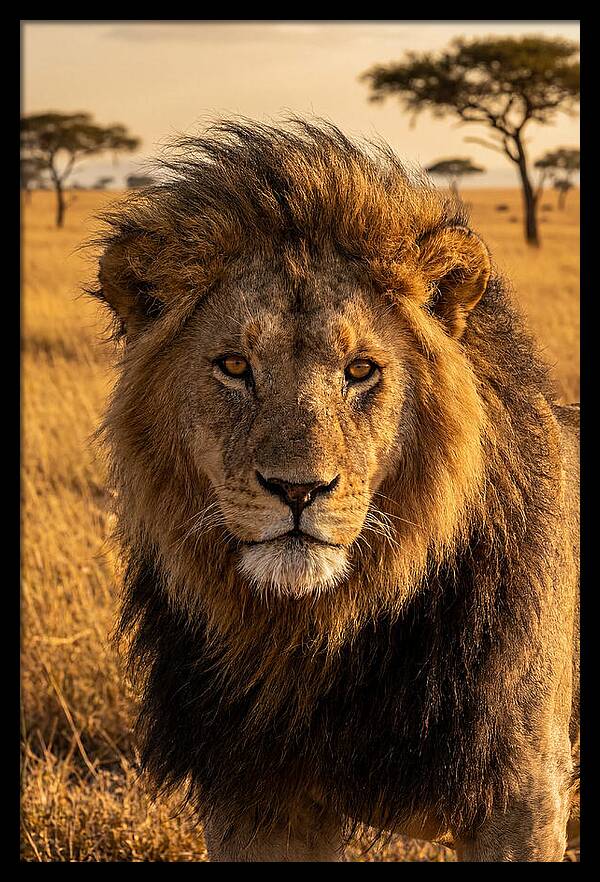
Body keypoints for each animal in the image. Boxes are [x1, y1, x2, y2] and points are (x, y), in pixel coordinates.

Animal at [91, 119, 579, 862]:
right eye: (235, 366)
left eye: (361, 370)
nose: (298, 490)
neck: (319, 635)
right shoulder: (254, 798)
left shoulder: (522, 795)